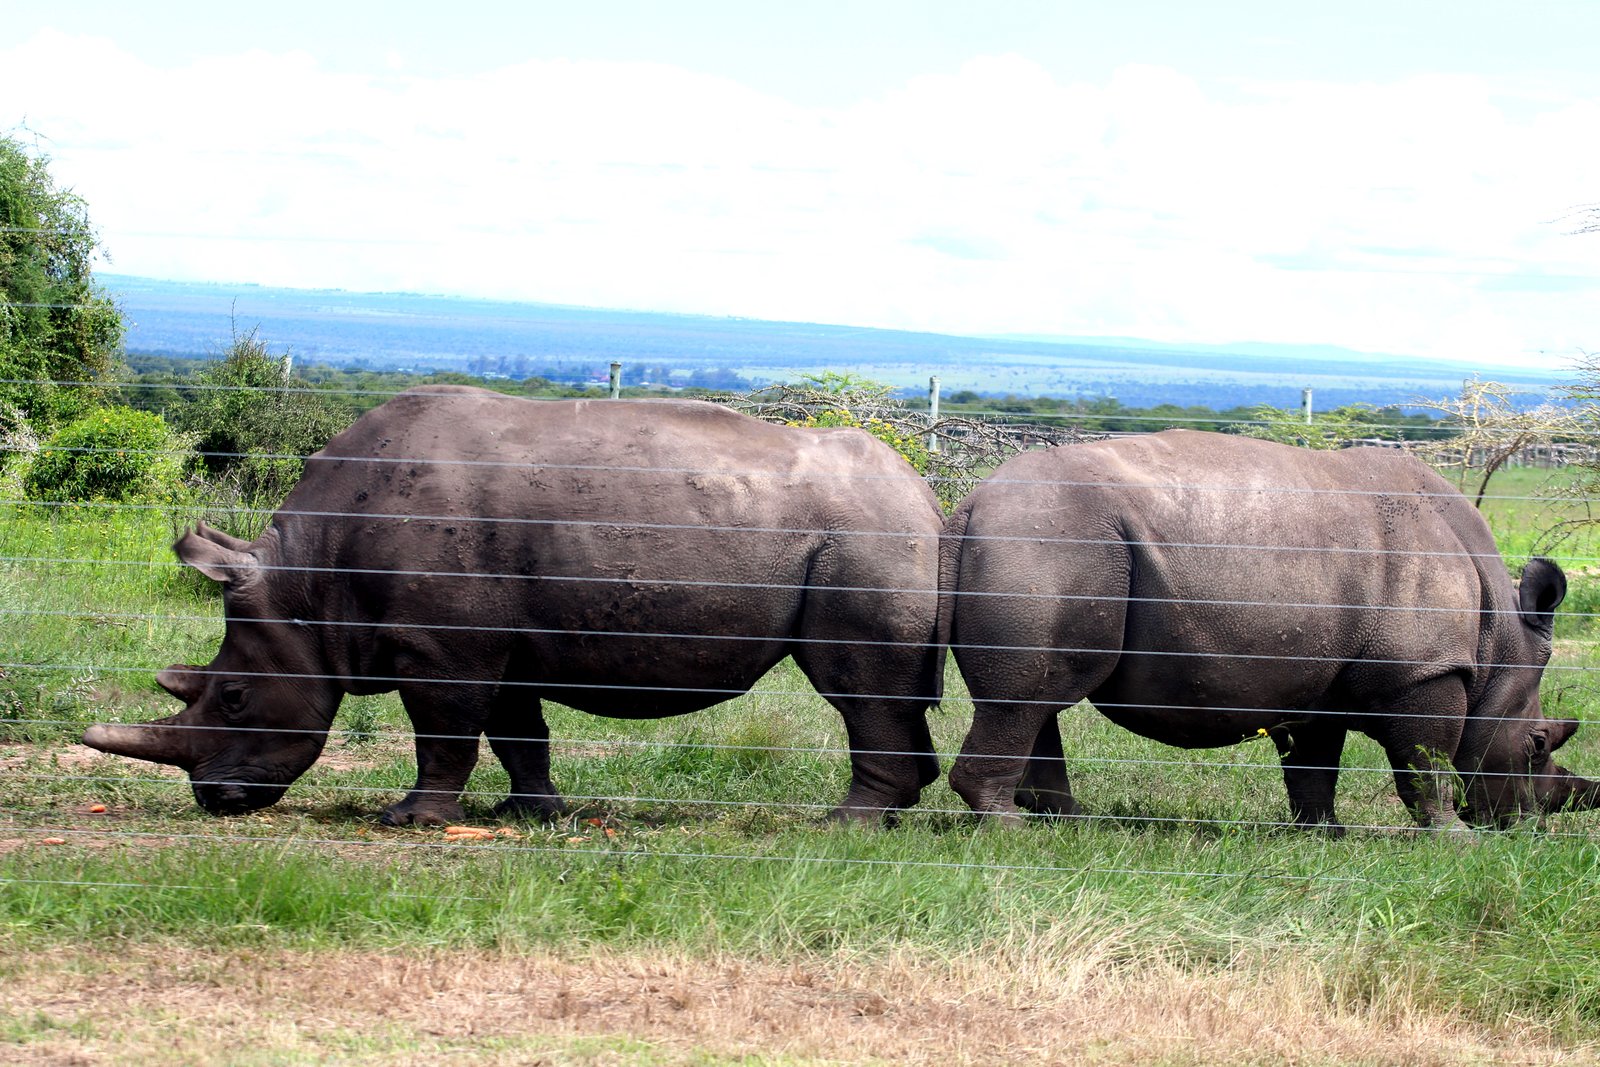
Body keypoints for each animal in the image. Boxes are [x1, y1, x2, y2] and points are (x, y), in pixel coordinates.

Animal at [83, 386, 945, 825]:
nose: (215, 799)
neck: (308, 581)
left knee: (854, 686)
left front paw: (409, 819)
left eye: (233, 694)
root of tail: (926, 494)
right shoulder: (491, 638)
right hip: (870, 532)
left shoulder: (441, 644)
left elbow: (443, 733)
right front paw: (534, 813)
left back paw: (844, 825)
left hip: (865, 536)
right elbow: (515, 731)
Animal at [941, 430, 1599, 832]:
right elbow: (1427, 761)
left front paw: (1325, 835)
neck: (1500, 641)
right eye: (1538, 744)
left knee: (1039, 697)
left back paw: (1071, 824)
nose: (1525, 826)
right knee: (1027, 697)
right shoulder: (1424, 672)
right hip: (1055, 539)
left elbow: (1315, 762)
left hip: (1048, 537)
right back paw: (1010, 827)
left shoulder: (1324, 678)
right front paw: (1457, 838)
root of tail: (970, 505)